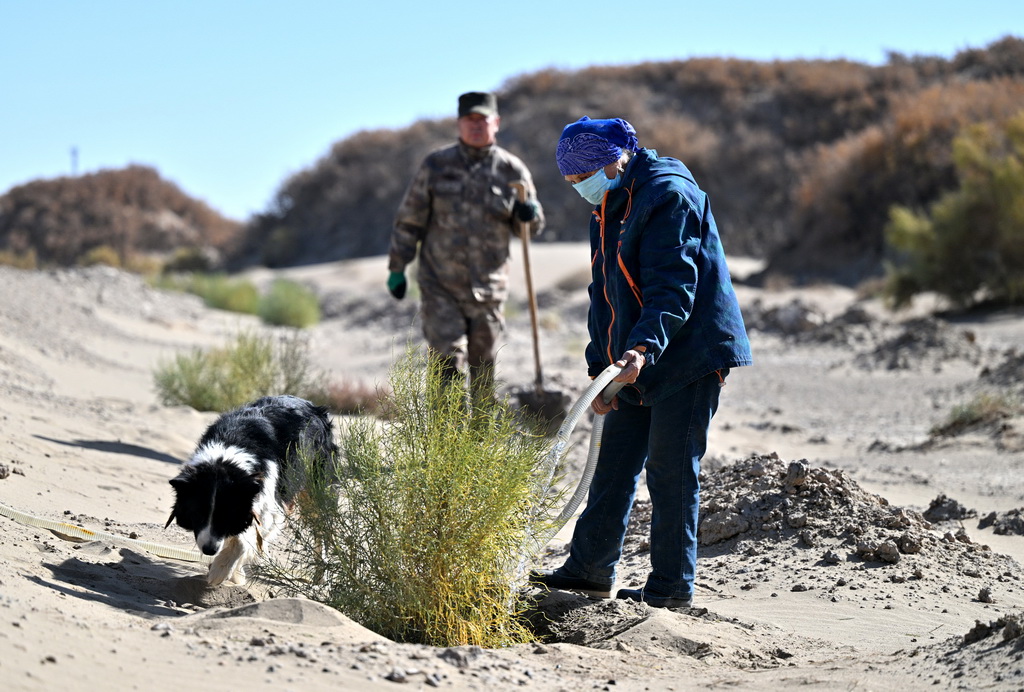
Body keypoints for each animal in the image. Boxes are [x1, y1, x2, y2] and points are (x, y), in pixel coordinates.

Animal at [164, 395, 335, 585]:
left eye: (225, 516)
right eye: (198, 514)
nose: (209, 550)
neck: (227, 458)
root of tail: (313, 406)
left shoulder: (271, 502)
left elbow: (244, 540)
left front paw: (220, 571)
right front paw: (234, 571)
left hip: (315, 484)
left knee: (321, 528)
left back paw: (321, 576)